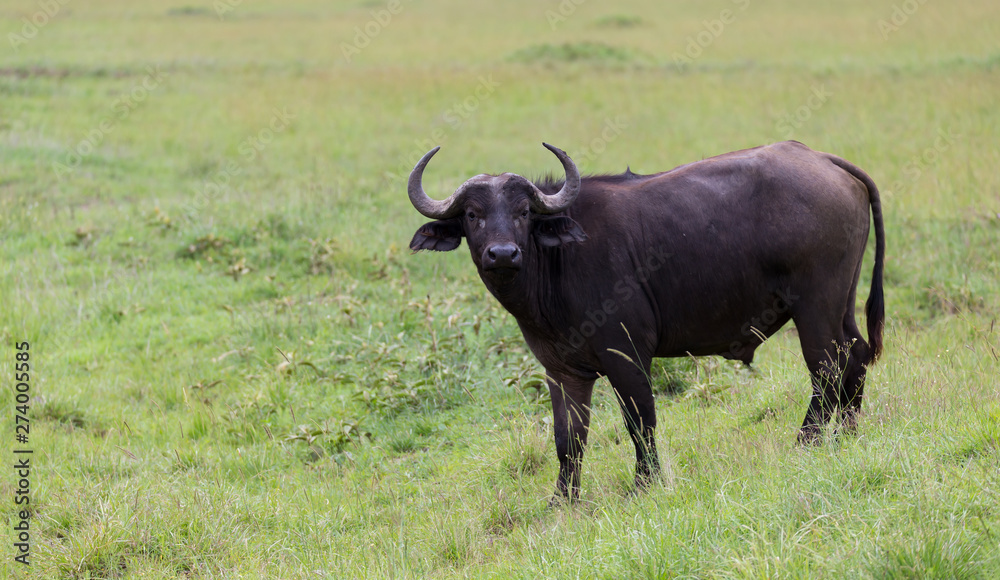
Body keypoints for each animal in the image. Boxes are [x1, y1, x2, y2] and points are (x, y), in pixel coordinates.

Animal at [406, 142, 884, 498]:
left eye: (524, 212)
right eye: (473, 215)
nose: (503, 254)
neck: (558, 264)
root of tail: (823, 159)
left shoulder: (627, 355)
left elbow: (640, 420)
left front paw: (645, 483)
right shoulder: (561, 371)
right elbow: (568, 438)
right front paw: (563, 499)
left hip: (815, 305)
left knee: (825, 367)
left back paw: (807, 442)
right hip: (841, 302)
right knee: (855, 354)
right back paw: (849, 432)